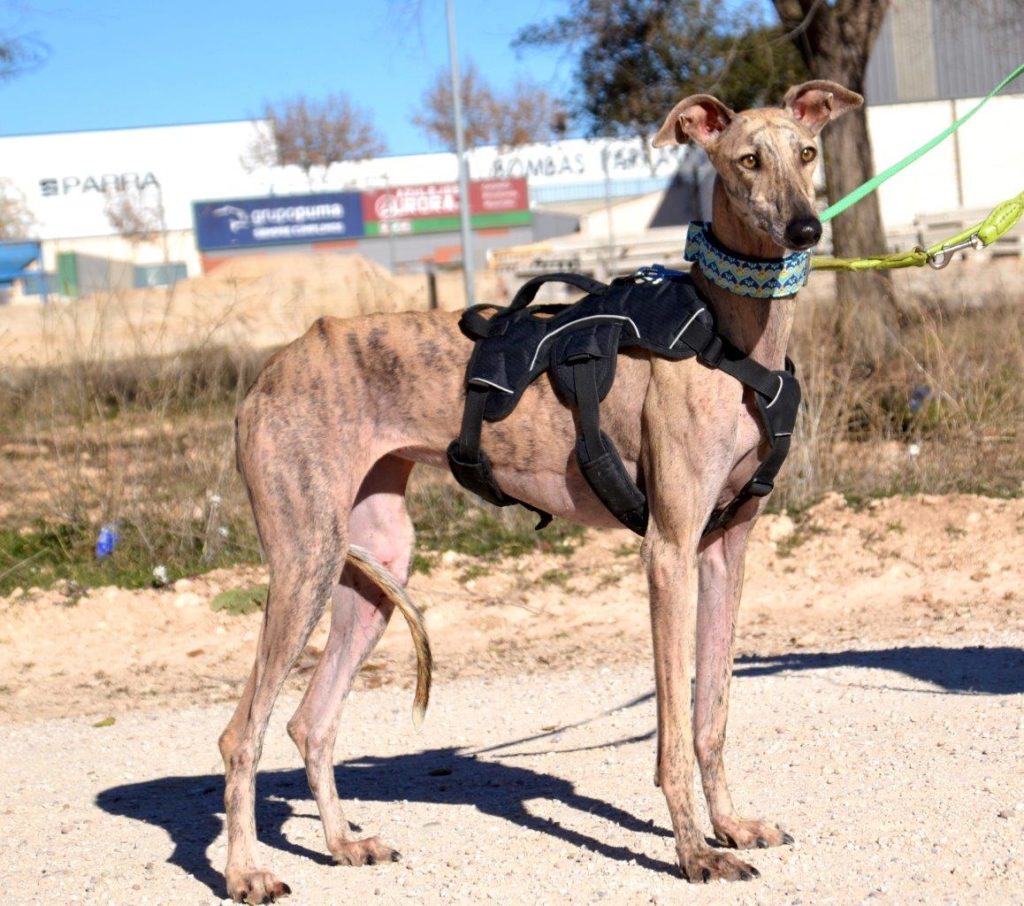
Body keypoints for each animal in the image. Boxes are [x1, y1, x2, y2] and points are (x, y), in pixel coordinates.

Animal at [220, 81, 860, 900]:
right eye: (748, 159)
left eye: (807, 152)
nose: (806, 227)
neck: (731, 337)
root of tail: (268, 374)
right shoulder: (669, 551)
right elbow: (672, 733)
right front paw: (694, 852)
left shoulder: (725, 550)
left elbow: (710, 715)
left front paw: (732, 825)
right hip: (305, 560)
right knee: (242, 734)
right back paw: (247, 872)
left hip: (374, 562)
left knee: (310, 721)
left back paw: (341, 843)